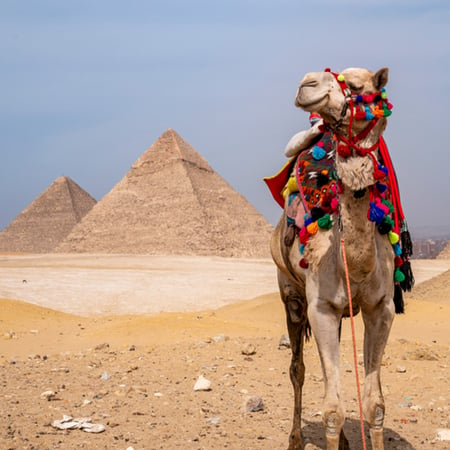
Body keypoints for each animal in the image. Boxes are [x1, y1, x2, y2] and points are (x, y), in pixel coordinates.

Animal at [268, 67, 410, 450]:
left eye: (359, 86)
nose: (307, 83)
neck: (358, 264)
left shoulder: (381, 308)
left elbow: (376, 405)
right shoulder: (321, 307)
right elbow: (331, 410)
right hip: (292, 294)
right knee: (298, 370)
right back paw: (295, 438)